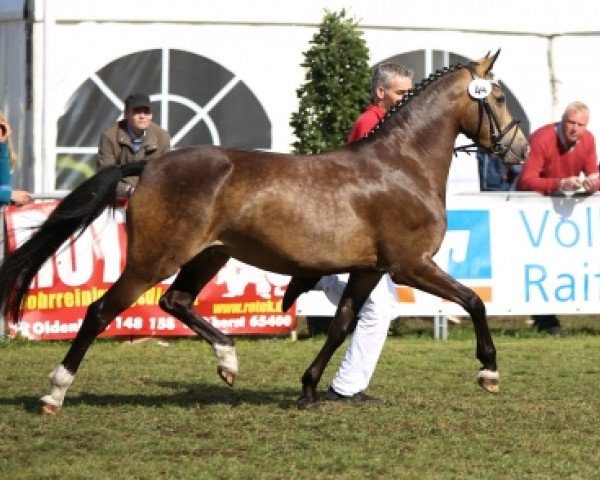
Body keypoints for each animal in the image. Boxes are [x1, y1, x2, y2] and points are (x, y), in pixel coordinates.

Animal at [0, 50, 524, 414]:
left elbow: (341, 324)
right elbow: (474, 301)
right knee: (100, 311)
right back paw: (54, 394)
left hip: (208, 255)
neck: (402, 165)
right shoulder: (411, 265)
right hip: (154, 260)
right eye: (498, 98)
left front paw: (310, 389)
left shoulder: (369, 270)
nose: (517, 149)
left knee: (176, 301)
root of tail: (149, 165)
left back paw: (227, 361)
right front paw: (489, 371)